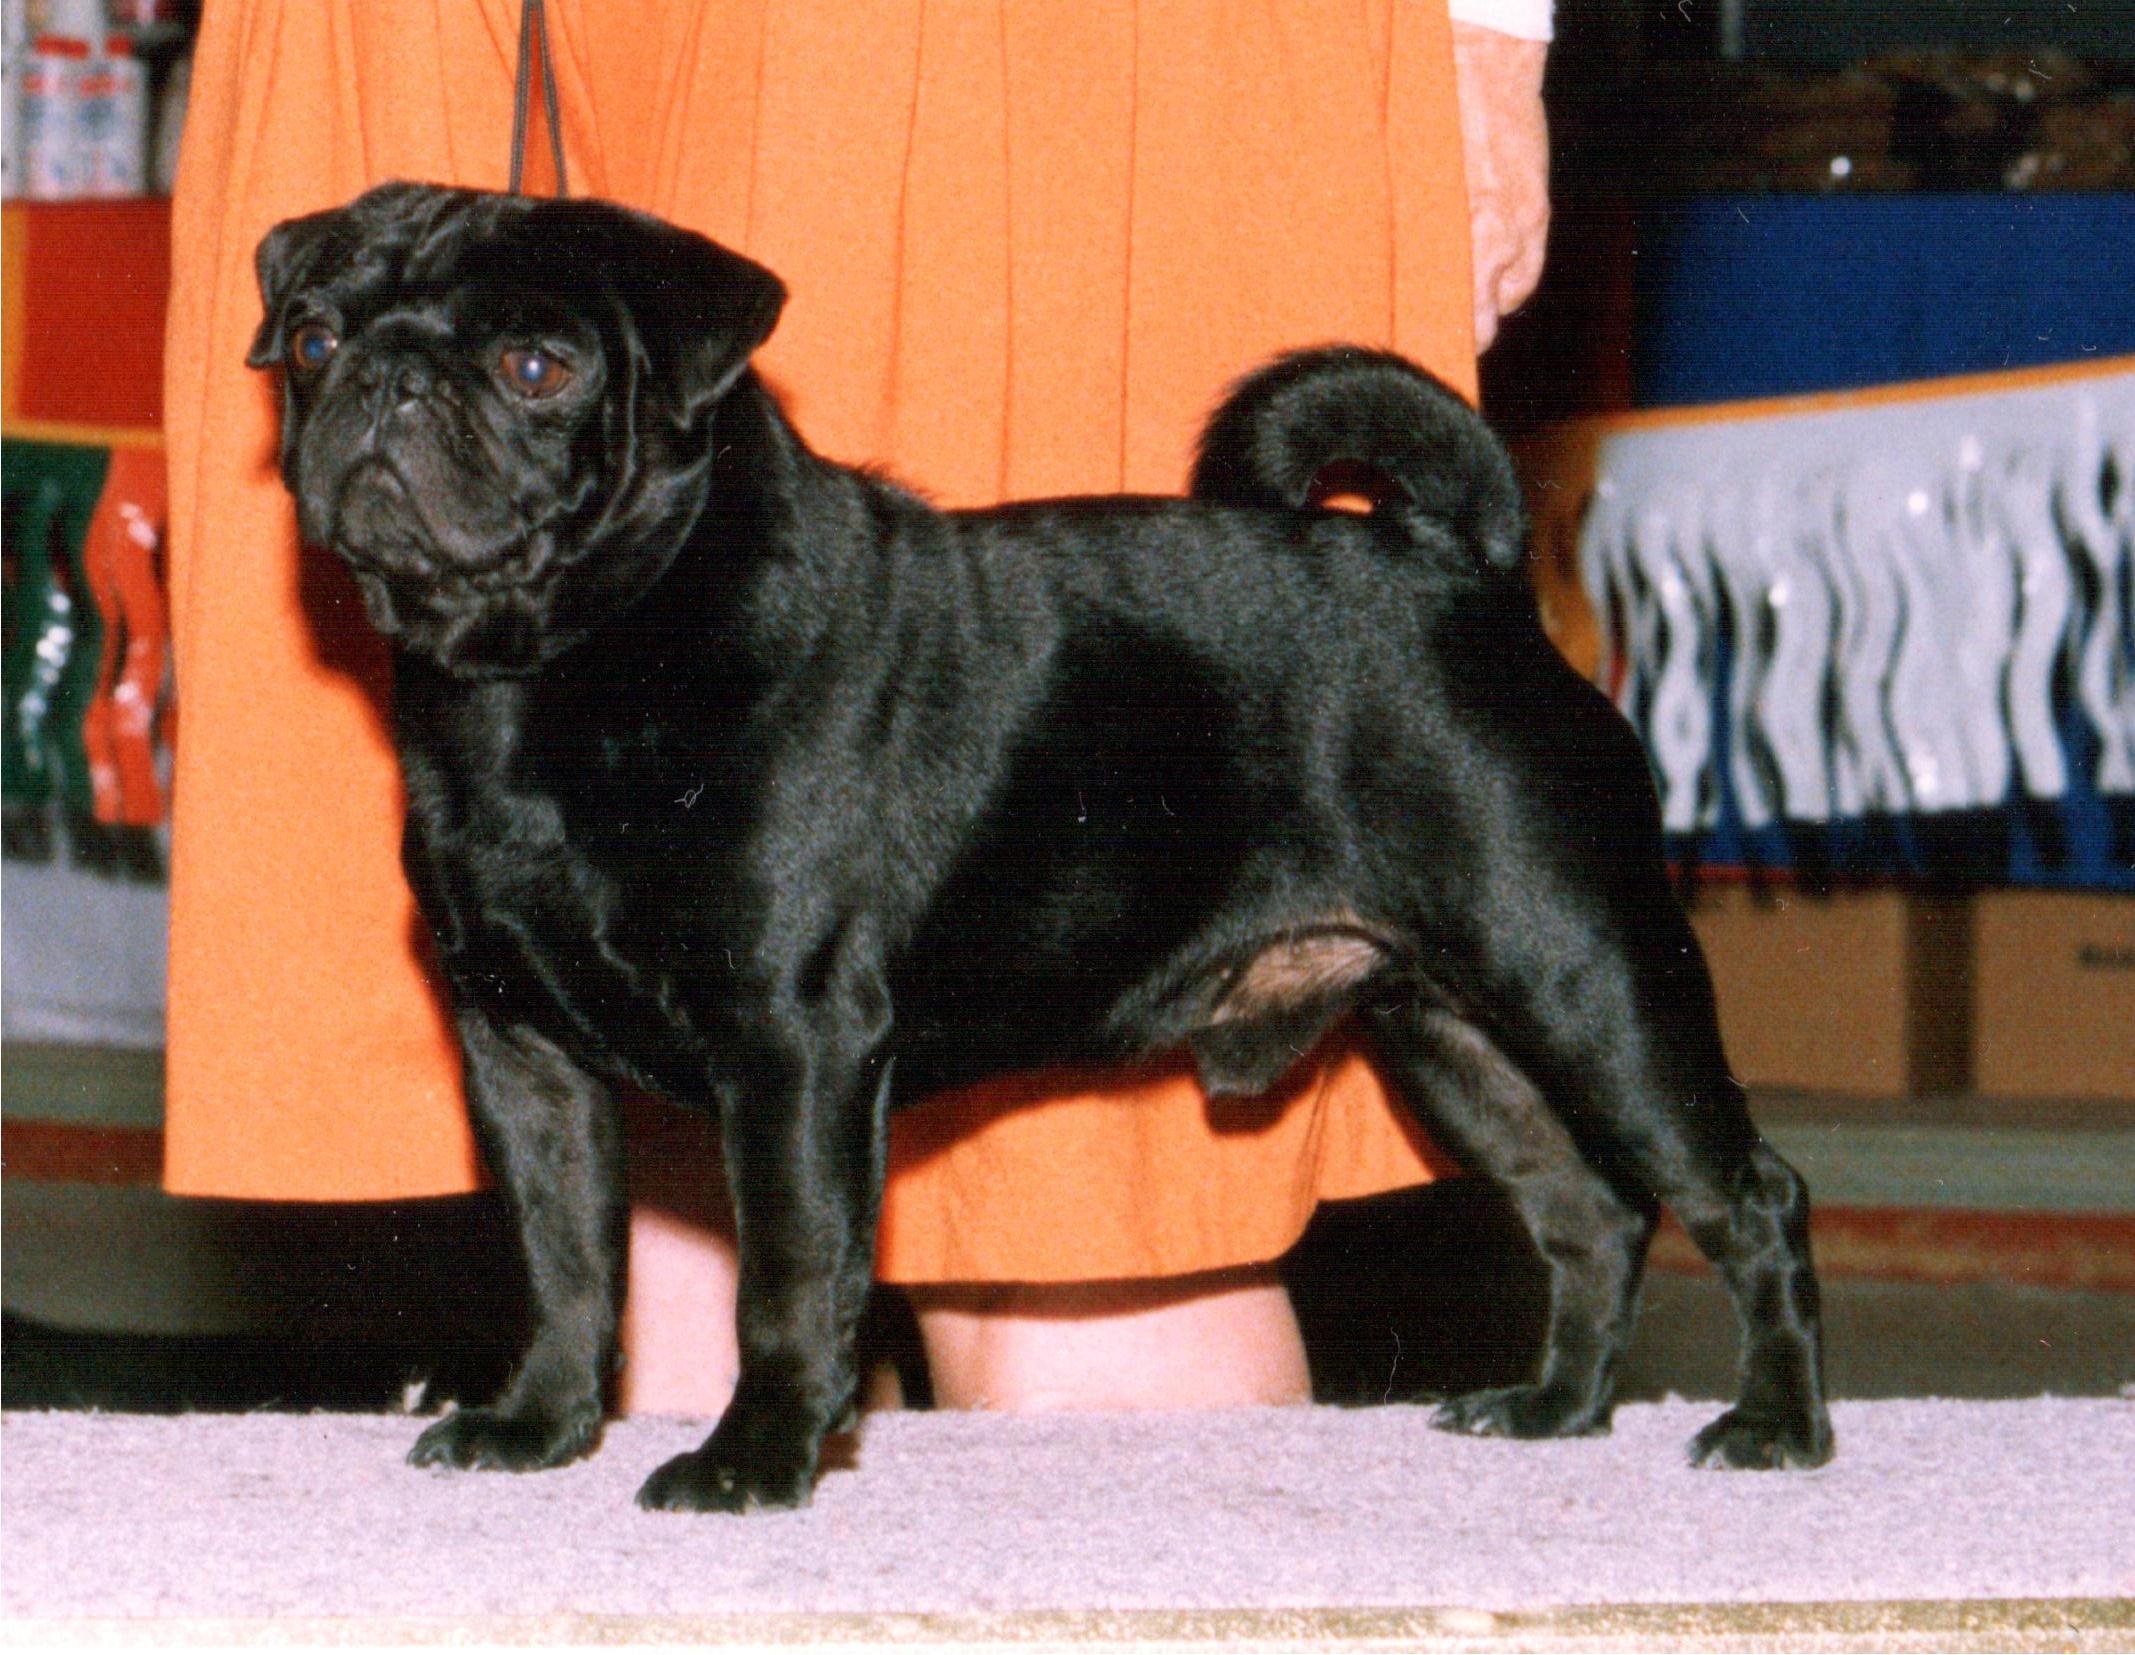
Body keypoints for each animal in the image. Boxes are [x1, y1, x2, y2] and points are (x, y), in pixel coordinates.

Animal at [250, 181, 1833, 1512]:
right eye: (314, 337)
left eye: (538, 367)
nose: (386, 375)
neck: (551, 676)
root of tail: (1465, 568)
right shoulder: (522, 1056)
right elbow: (568, 1257)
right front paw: (542, 1424)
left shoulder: (791, 1042)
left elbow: (791, 1273)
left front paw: (756, 1458)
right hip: (1449, 1032)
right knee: (1589, 1209)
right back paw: (1554, 1406)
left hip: (1584, 979)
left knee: (1744, 1194)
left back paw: (1774, 1427)